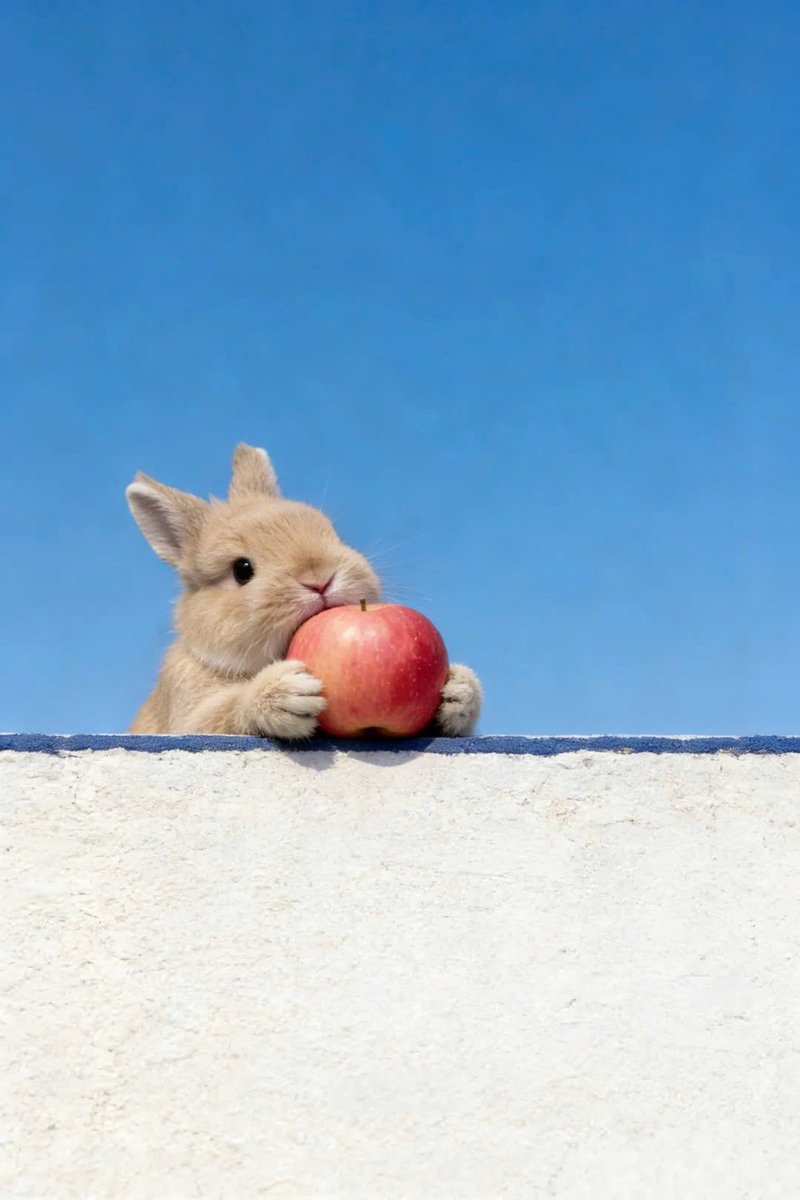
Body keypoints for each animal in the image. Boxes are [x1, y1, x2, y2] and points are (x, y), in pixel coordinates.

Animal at [126, 443, 483, 739]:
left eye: (333, 533)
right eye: (242, 570)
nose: (320, 579)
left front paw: (460, 690)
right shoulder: (191, 713)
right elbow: (224, 713)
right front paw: (287, 694)